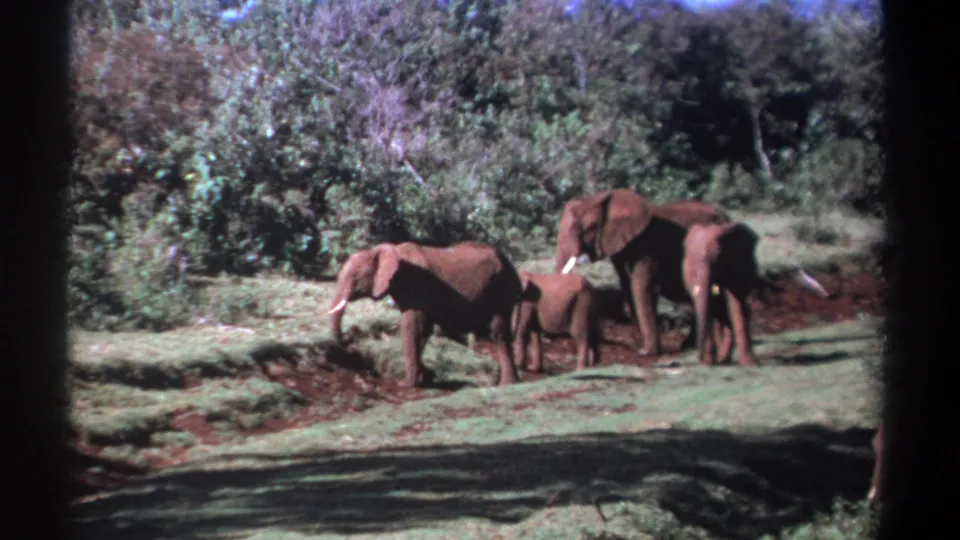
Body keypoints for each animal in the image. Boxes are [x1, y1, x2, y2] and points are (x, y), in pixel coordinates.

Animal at [327, 241, 523, 388]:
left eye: (354, 277)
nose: (349, 338)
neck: (391, 250)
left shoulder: (416, 286)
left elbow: (411, 326)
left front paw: (406, 384)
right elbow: (423, 330)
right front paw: (427, 377)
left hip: (499, 287)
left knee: (498, 332)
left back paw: (507, 384)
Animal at [554, 189, 732, 357]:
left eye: (588, 228)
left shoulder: (647, 248)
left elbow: (643, 288)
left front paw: (646, 352)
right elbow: (628, 287)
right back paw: (691, 347)